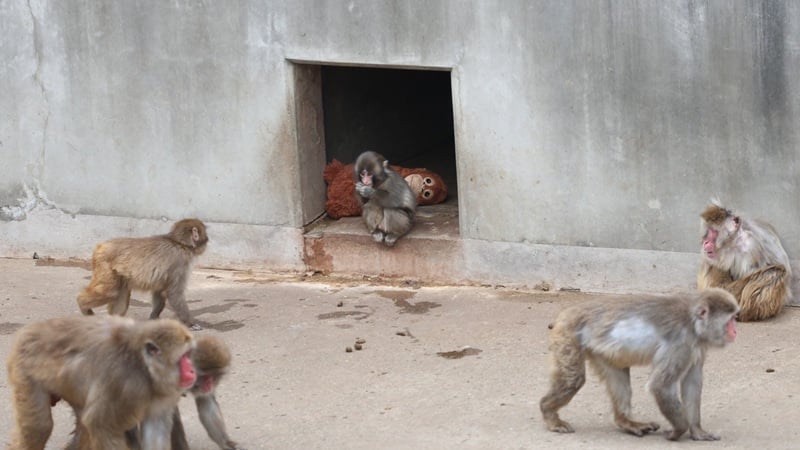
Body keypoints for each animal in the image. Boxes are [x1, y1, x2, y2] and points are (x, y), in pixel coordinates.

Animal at [7, 315, 196, 450]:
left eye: (189, 355)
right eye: (183, 358)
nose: (193, 370)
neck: (143, 366)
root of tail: (28, 331)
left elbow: (155, 426)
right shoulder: (124, 383)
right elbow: (101, 425)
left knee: (82, 425)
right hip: (24, 371)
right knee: (39, 427)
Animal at [77, 218, 208, 330]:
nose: (207, 239)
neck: (178, 243)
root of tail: (101, 246)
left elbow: (160, 290)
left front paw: (154, 317)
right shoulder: (179, 262)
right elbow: (174, 293)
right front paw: (190, 323)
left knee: (120, 294)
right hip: (105, 265)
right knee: (110, 292)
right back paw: (82, 304)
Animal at [540, 288, 739, 441]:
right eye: (730, 320)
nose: (735, 331)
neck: (693, 323)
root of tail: (566, 313)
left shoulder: (696, 347)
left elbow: (692, 383)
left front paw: (697, 430)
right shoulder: (681, 344)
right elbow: (661, 385)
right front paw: (679, 430)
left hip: (600, 351)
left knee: (617, 374)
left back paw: (626, 422)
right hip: (568, 334)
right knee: (573, 379)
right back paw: (548, 411)